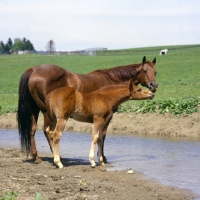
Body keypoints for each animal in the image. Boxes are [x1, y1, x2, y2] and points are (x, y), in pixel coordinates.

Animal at [17, 55, 158, 162]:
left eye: (155, 72)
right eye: (144, 71)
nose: (154, 85)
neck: (111, 82)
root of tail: (34, 70)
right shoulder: (107, 116)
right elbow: (102, 135)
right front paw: (102, 157)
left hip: (35, 110)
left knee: (32, 130)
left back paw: (37, 157)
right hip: (48, 113)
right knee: (48, 132)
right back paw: (56, 157)